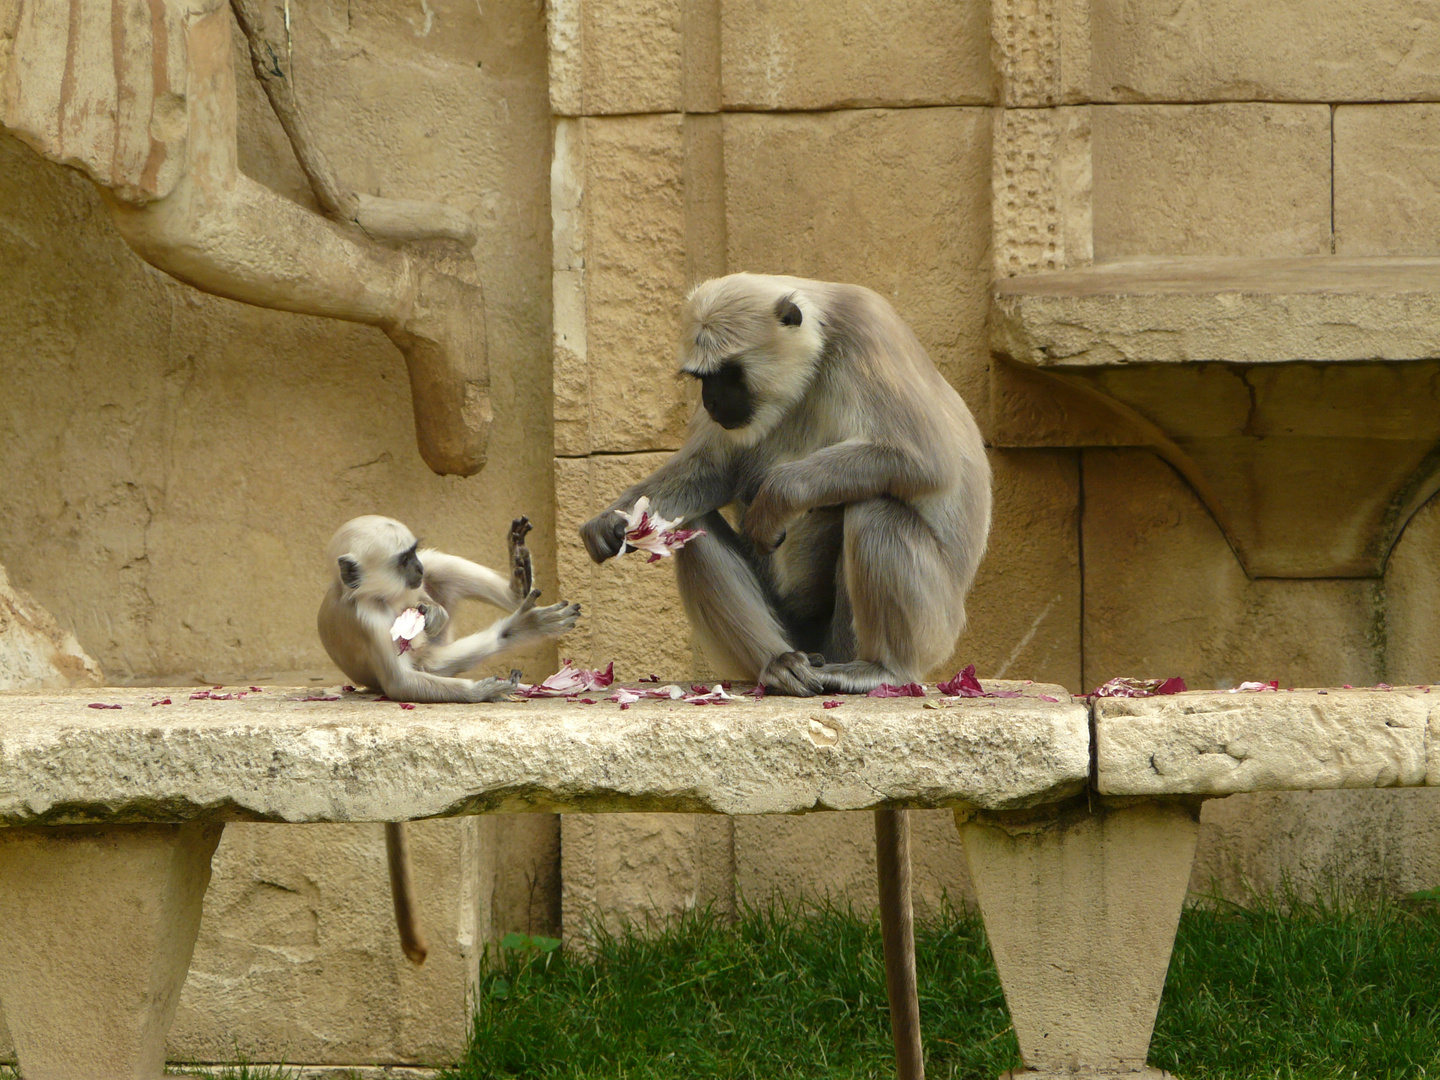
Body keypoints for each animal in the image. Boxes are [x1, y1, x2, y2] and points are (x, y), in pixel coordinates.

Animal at [319, 515, 578, 961]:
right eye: (403, 559)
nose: (417, 567)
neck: (373, 595)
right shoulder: (369, 619)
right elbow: (403, 684)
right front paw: (481, 689)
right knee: (426, 662)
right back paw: (513, 625)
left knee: (442, 574)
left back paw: (517, 585)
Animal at [578, 272, 996, 1080]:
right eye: (702, 380)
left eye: (728, 375)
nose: (715, 403)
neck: (813, 361)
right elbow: (714, 471)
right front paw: (612, 519)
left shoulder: (867, 326)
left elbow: (925, 461)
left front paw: (781, 490)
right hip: (796, 627)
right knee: (695, 531)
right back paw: (777, 667)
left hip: (931, 622)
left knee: (876, 504)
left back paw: (878, 670)